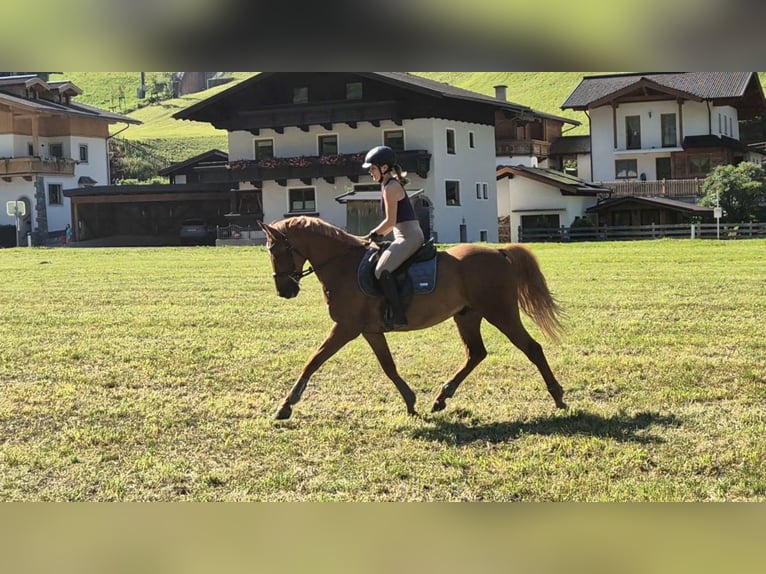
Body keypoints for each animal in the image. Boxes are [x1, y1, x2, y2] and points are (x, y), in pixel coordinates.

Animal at [258, 216, 567, 420]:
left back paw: (558, 396)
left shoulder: (346, 327)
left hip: (500, 312)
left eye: (275, 250)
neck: (341, 264)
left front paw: (286, 405)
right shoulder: (369, 330)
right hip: (467, 316)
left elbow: (313, 361)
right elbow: (388, 366)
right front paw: (410, 401)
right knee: (476, 354)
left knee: (532, 348)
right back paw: (441, 398)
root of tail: (499, 252)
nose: (284, 291)